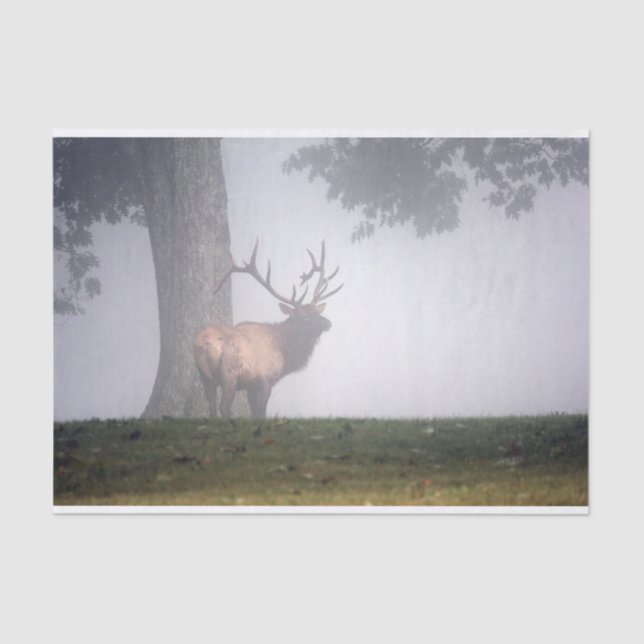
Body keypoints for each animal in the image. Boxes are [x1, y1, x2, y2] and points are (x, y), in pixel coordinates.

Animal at [193, 240, 343, 417]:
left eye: (316, 312)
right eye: (304, 316)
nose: (328, 323)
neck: (284, 352)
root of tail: (204, 342)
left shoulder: (250, 385)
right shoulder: (265, 380)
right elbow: (260, 413)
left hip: (205, 377)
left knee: (211, 408)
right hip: (229, 375)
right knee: (224, 407)